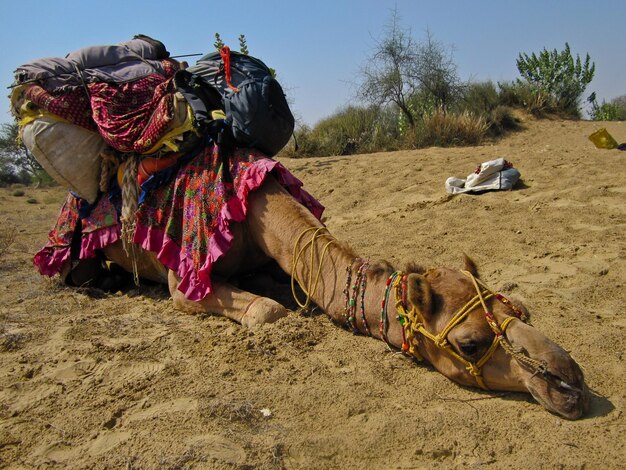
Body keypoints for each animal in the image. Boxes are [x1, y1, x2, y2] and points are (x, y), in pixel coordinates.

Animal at [85, 173, 588, 422]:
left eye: (522, 309)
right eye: (469, 344)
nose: (569, 383)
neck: (256, 212)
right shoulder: (183, 284)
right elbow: (268, 311)